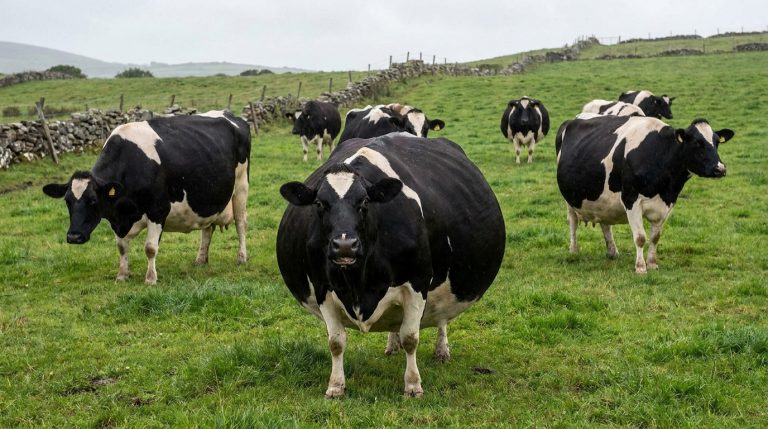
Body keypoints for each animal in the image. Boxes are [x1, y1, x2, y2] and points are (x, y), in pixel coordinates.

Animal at [42, 110, 251, 285]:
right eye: (67, 201)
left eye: (93, 201)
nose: (74, 236)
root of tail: (231, 115)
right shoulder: (118, 219)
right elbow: (121, 247)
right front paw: (122, 275)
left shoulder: (158, 210)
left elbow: (150, 248)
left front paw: (150, 279)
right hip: (207, 198)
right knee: (207, 229)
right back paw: (200, 259)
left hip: (241, 186)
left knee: (240, 223)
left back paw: (242, 257)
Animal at [276, 134, 505, 398]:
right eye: (320, 204)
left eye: (365, 202)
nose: (344, 246)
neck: (358, 283)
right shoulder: (322, 287)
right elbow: (336, 342)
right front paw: (335, 387)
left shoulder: (417, 284)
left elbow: (411, 337)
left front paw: (413, 385)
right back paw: (392, 346)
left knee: (442, 318)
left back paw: (441, 351)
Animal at [555, 115, 733, 273]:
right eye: (697, 143)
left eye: (717, 142)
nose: (720, 169)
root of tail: (572, 120)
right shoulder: (631, 200)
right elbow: (640, 237)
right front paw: (640, 267)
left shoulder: (667, 203)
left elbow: (655, 237)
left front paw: (652, 263)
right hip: (569, 199)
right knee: (573, 222)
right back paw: (573, 250)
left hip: (602, 199)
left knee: (605, 223)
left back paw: (612, 252)